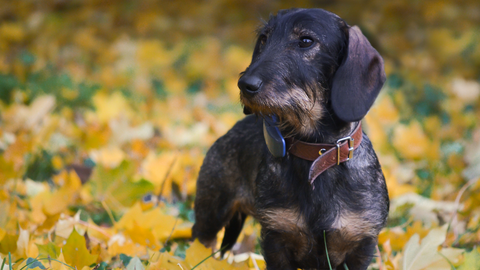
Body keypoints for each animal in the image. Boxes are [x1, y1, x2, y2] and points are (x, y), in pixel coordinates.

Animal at [191, 8, 390, 270]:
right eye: (264, 38)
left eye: (306, 41)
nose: (245, 85)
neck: (317, 154)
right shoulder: (276, 237)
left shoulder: (360, 245)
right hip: (211, 211)